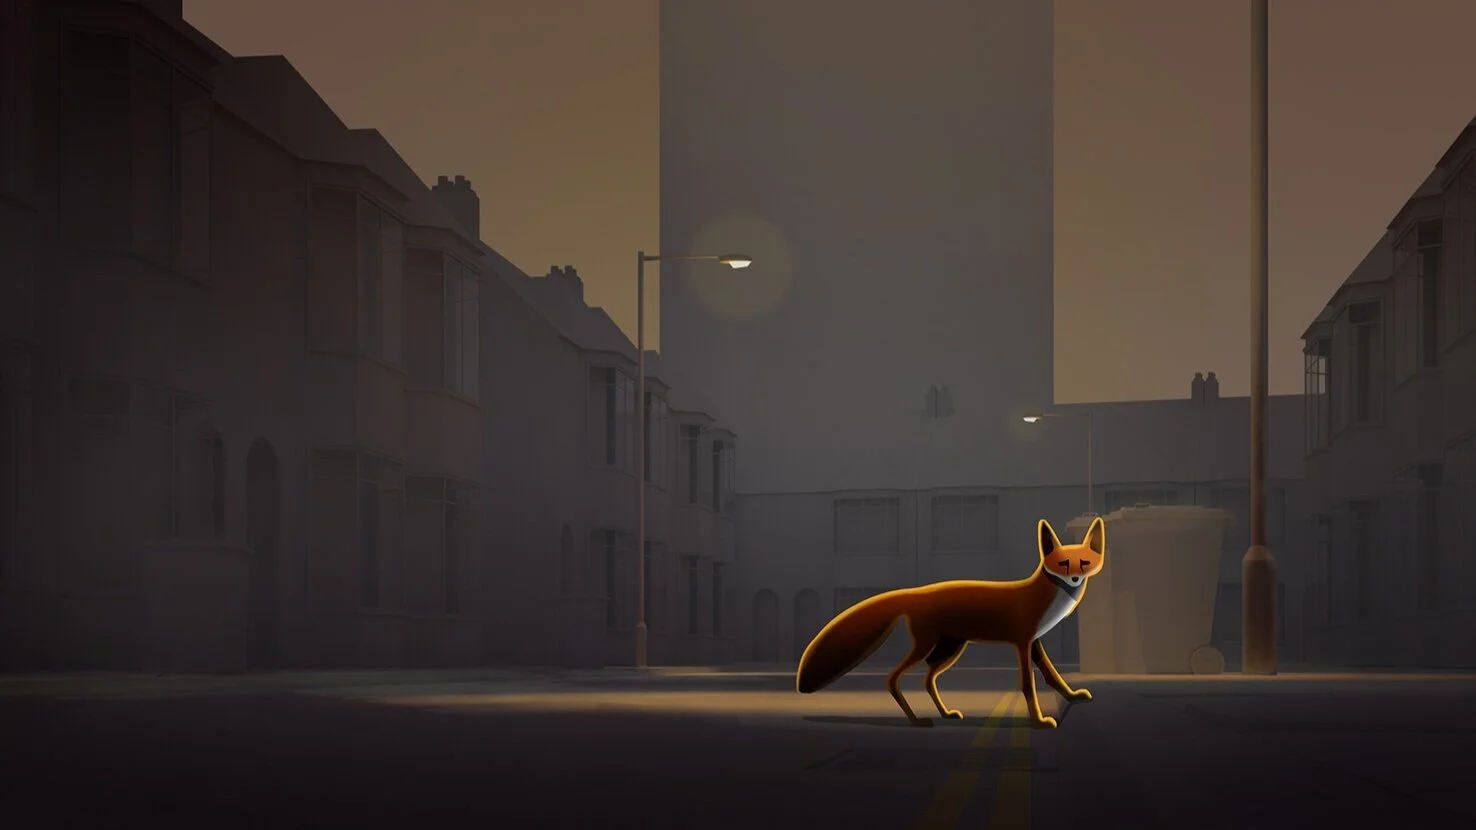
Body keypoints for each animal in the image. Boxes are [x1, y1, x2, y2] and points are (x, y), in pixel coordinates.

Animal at [796, 515, 1106, 728]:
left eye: (1084, 563)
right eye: (1063, 564)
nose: (1075, 578)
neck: (1044, 598)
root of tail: (917, 592)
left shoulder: (1035, 642)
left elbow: (1052, 676)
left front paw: (1073, 696)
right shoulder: (1022, 642)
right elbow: (1028, 684)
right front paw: (1039, 722)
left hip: (950, 648)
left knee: (927, 679)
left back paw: (944, 713)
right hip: (929, 645)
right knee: (893, 678)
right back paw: (916, 721)